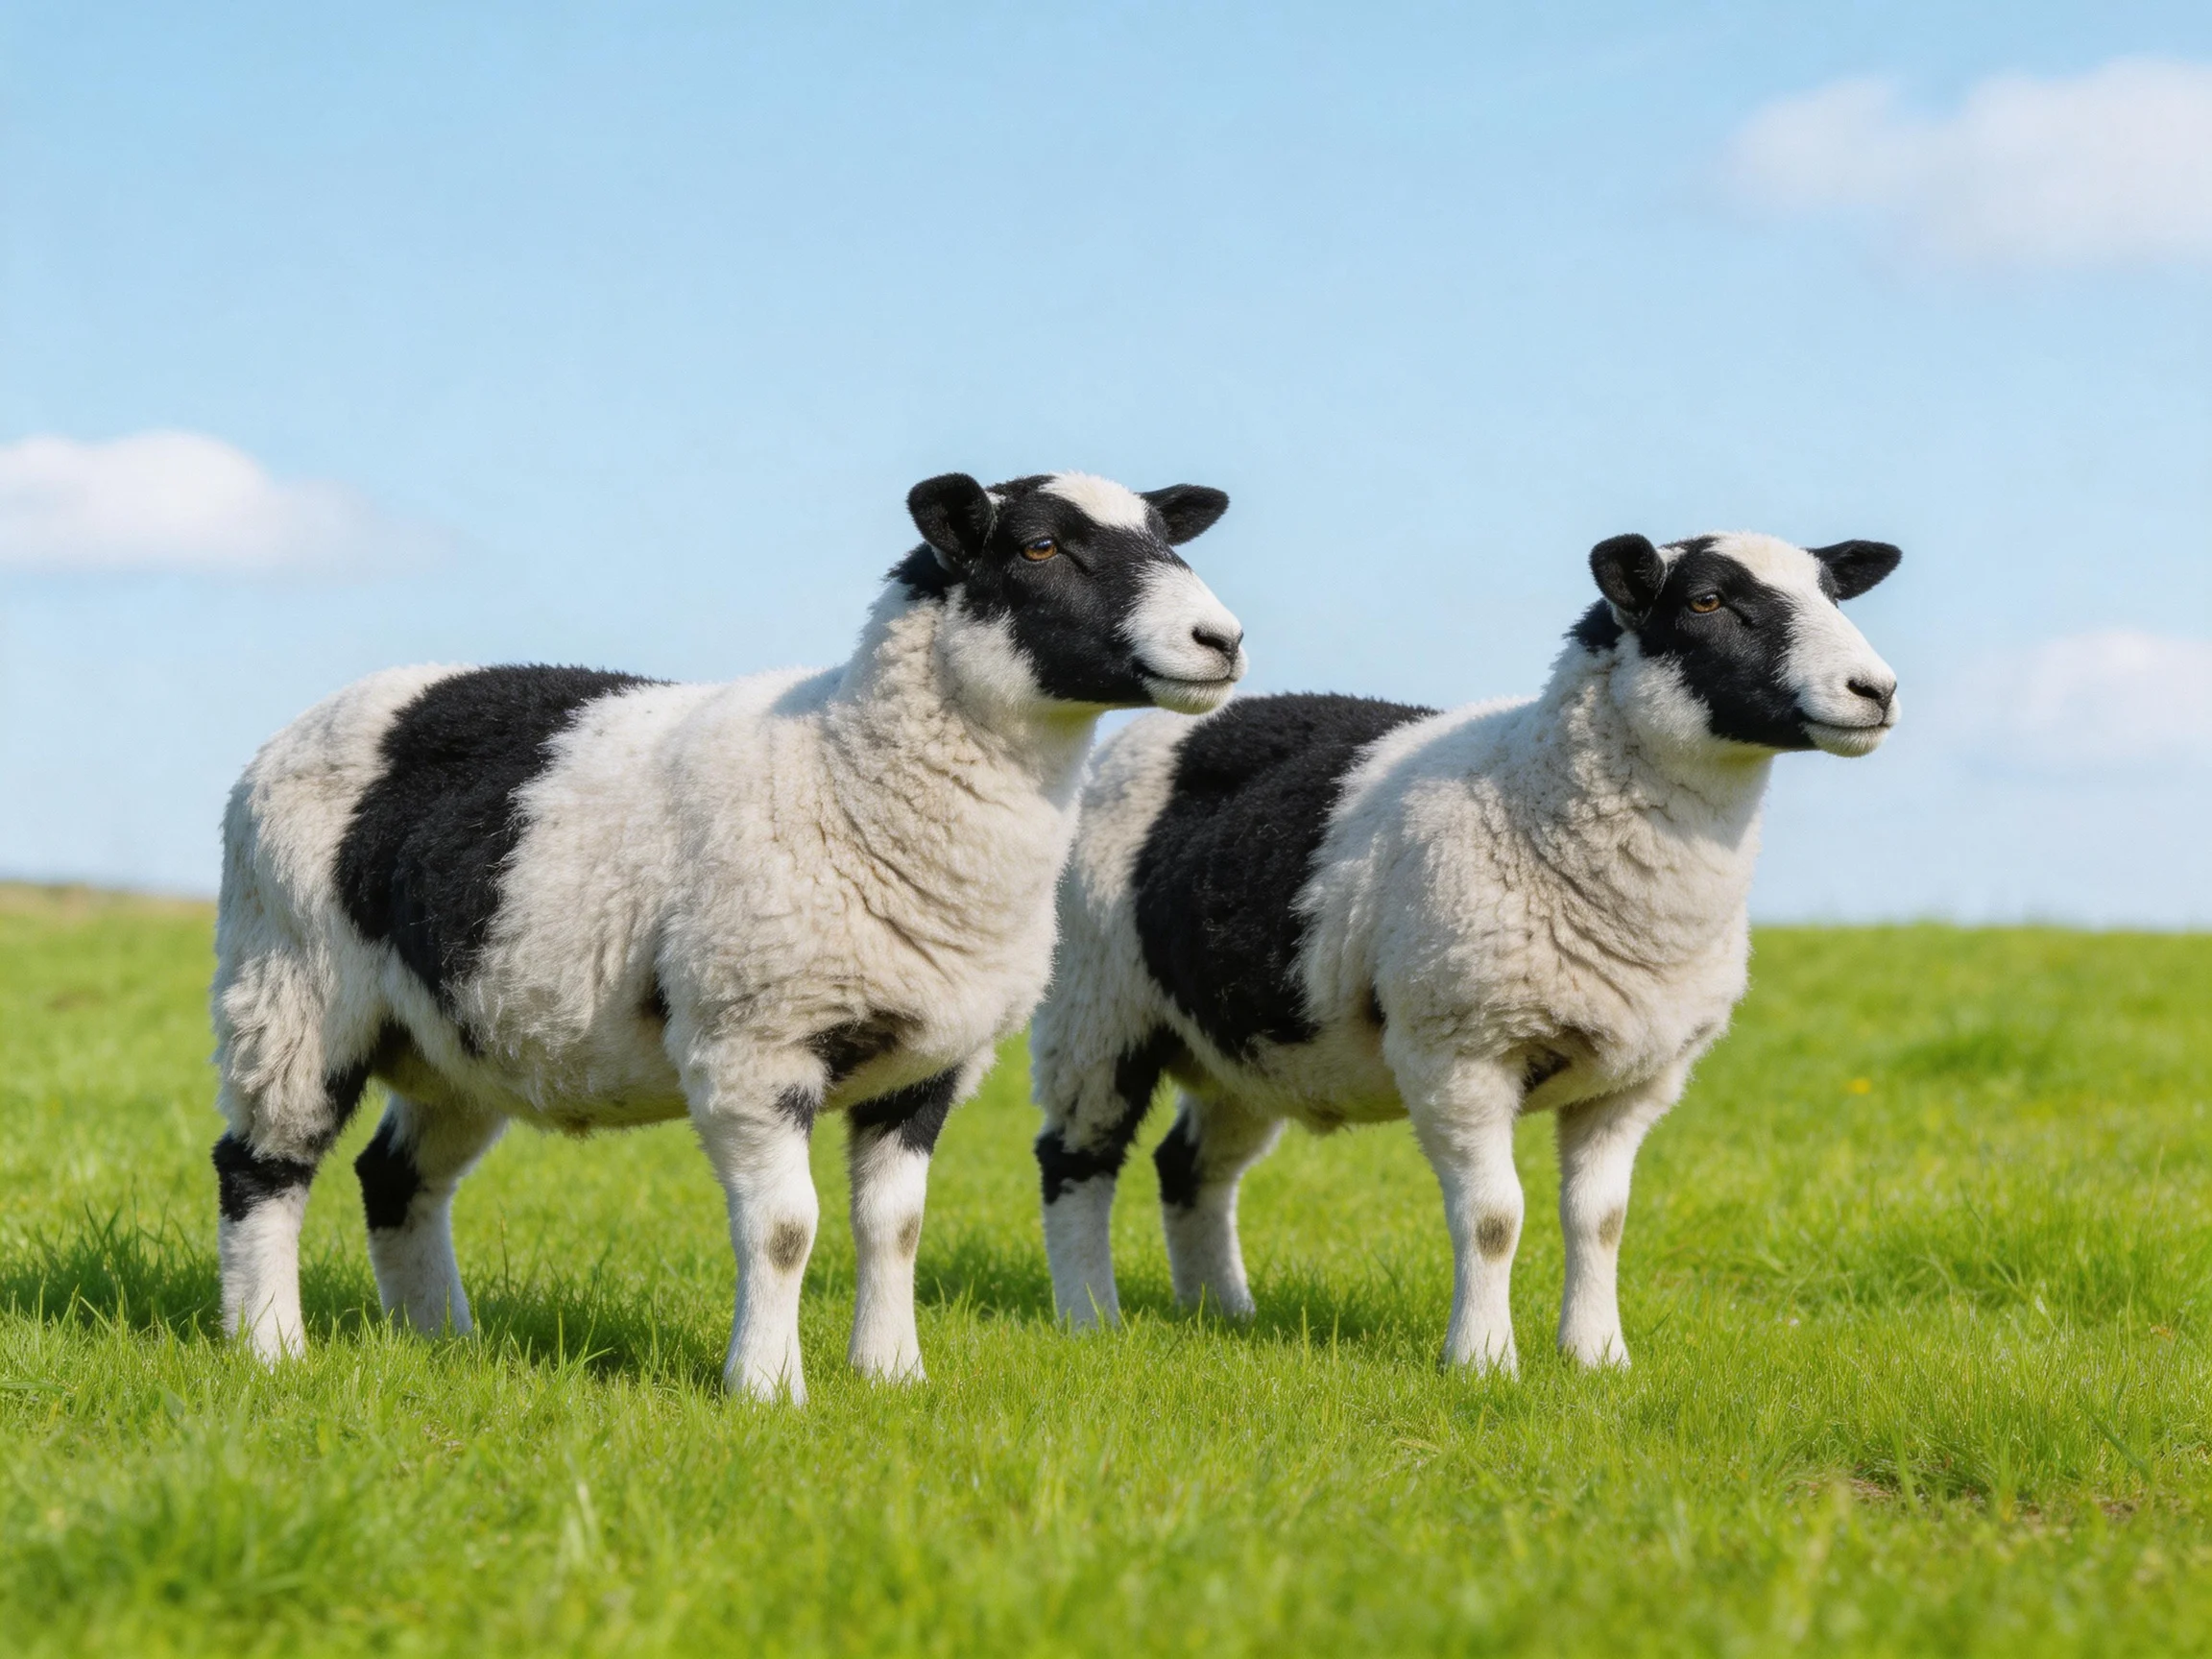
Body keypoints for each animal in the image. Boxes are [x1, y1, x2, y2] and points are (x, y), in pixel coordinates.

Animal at [210, 469, 1244, 1401]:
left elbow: (895, 1227)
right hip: (289, 979)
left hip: (453, 1037)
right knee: (262, 1166)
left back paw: (438, 1339)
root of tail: (296, 730)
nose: (1223, 641)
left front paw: (891, 1375)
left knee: (395, 1179)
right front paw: (766, 1388)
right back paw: (270, 1349)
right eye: (1039, 546)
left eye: (1168, 538)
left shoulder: (927, 1066)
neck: (848, 775)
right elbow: (786, 1230)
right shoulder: (756, 1043)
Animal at [1030, 530, 1900, 1372]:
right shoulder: (1460, 1053)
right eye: (1708, 601)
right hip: (1091, 1005)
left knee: (1191, 1170)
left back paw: (1223, 1312)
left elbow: (1602, 1219)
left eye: (1832, 594)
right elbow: (1492, 1219)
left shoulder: (1636, 1080)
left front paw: (1599, 1360)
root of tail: (1158, 728)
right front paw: (1483, 1362)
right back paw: (1089, 1317)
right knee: (1075, 1158)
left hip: (1245, 1045)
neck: (1533, 800)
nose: (1877, 691)